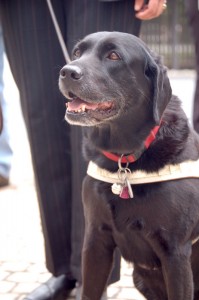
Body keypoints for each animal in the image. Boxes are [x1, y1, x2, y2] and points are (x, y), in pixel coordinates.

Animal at [58, 32, 199, 300]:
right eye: (77, 53)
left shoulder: (176, 253)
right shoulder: (95, 241)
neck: (124, 158)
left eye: (114, 56)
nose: (67, 72)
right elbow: (89, 291)